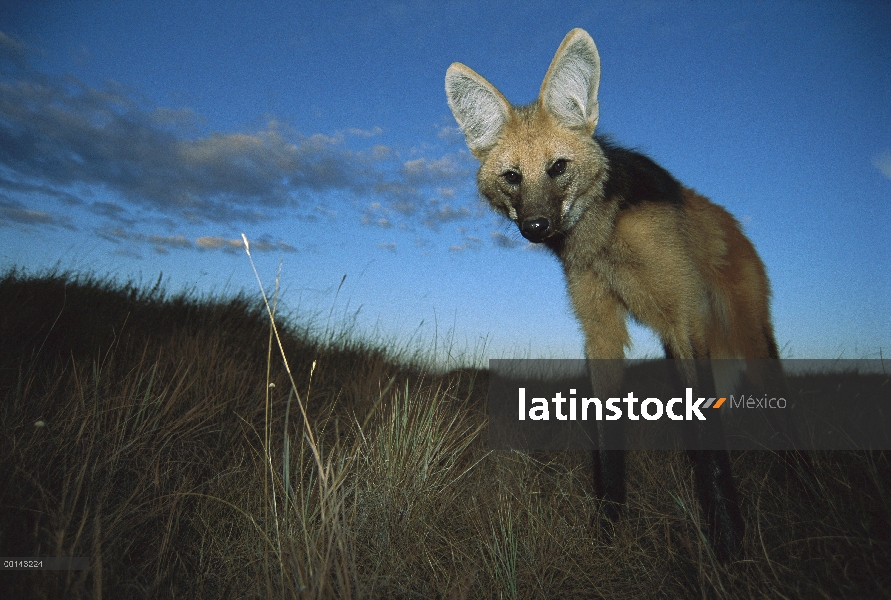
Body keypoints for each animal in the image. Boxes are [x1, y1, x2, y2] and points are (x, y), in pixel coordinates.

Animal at [444, 29, 780, 564]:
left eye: (558, 168)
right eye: (512, 176)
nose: (535, 226)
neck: (603, 239)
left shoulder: (683, 319)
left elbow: (706, 446)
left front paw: (728, 547)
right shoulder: (600, 330)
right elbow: (606, 443)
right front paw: (606, 532)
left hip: (746, 333)